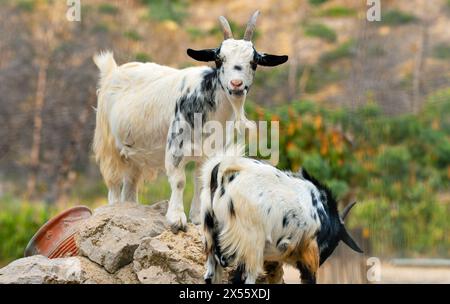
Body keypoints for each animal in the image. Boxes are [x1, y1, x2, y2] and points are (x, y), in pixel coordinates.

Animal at [92, 10, 288, 232]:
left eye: (254, 62)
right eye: (219, 60)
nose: (236, 84)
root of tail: (112, 71)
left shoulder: (211, 153)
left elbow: (201, 181)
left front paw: (196, 218)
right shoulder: (175, 148)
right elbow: (179, 181)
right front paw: (176, 219)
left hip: (134, 157)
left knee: (130, 187)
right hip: (108, 145)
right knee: (114, 185)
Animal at [200, 148, 362, 284]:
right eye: (336, 242)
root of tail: (223, 171)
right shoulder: (310, 255)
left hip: (211, 234)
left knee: (211, 275)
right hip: (251, 246)